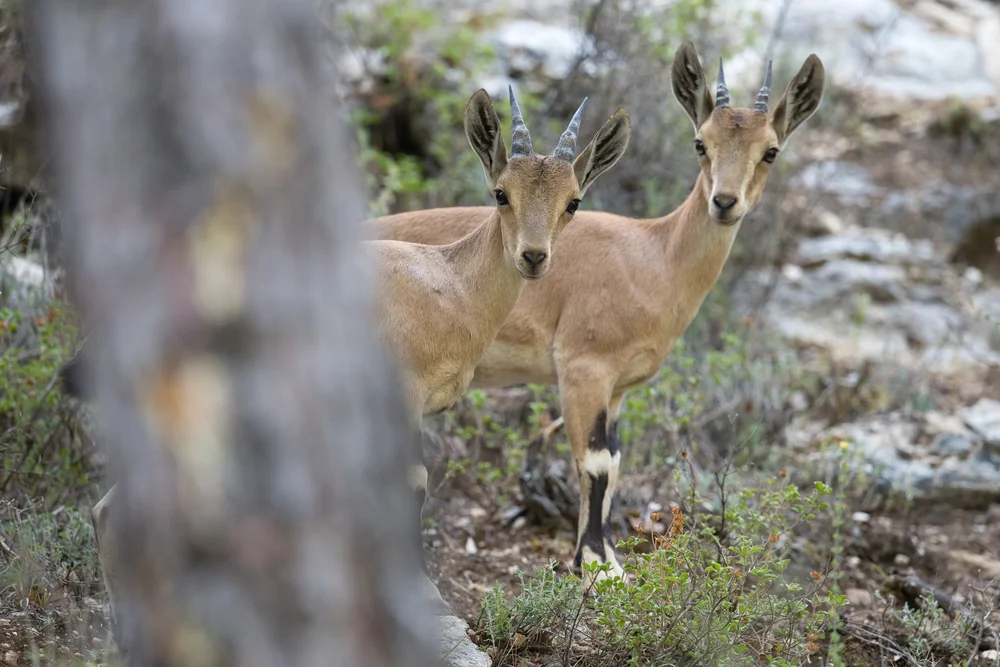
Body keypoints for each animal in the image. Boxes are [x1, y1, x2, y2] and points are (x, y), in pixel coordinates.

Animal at [368, 41, 827, 581]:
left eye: (770, 150)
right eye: (701, 143)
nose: (725, 202)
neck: (653, 256)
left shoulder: (619, 390)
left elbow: (614, 460)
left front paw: (608, 559)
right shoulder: (584, 369)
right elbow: (594, 462)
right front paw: (596, 567)